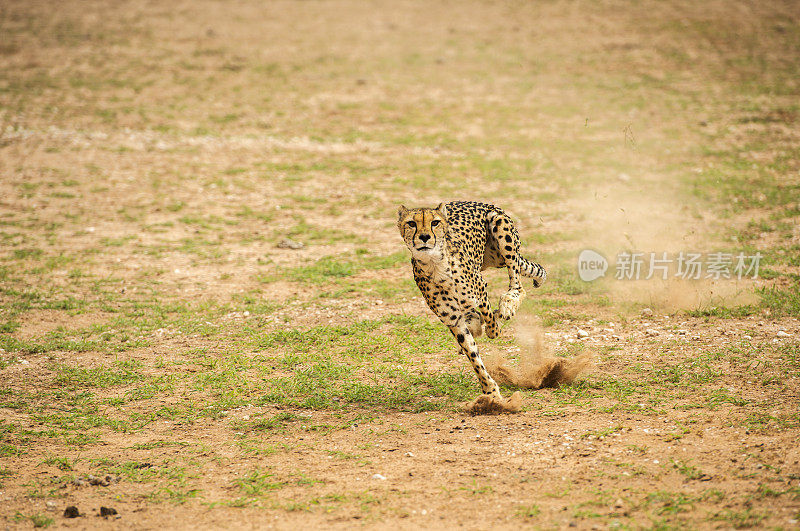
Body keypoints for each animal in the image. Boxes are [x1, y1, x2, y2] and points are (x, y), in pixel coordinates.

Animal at [396, 202, 548, 402]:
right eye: (412, 223)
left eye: (434, 222)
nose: (424, 237)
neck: (435, 265)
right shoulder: (453, 320)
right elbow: (473, 356)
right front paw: (491, 392)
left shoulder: (481, 291)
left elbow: (491, 323)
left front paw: (492, 325)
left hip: (500, 231)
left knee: (517, 282)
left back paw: (507, 304)